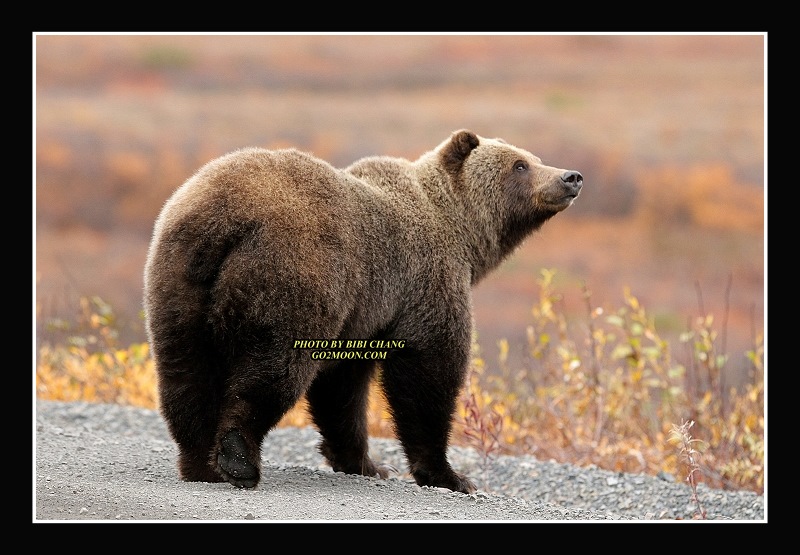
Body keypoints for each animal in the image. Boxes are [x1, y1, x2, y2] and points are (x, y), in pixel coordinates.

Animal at [143, 129, 582, 494]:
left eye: (534, 157)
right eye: (519, 165)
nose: (570, 177)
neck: (462, 235)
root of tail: (224, 217)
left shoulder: (364, 312)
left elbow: (342, 386)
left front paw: (366, 463)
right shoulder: (425, 285)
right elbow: (427, 372)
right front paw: (450, 475)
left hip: (177, 283)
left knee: (185, 373)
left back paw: (200, 463)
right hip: (295, 276)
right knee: (272, 370)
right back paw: (238, 460)